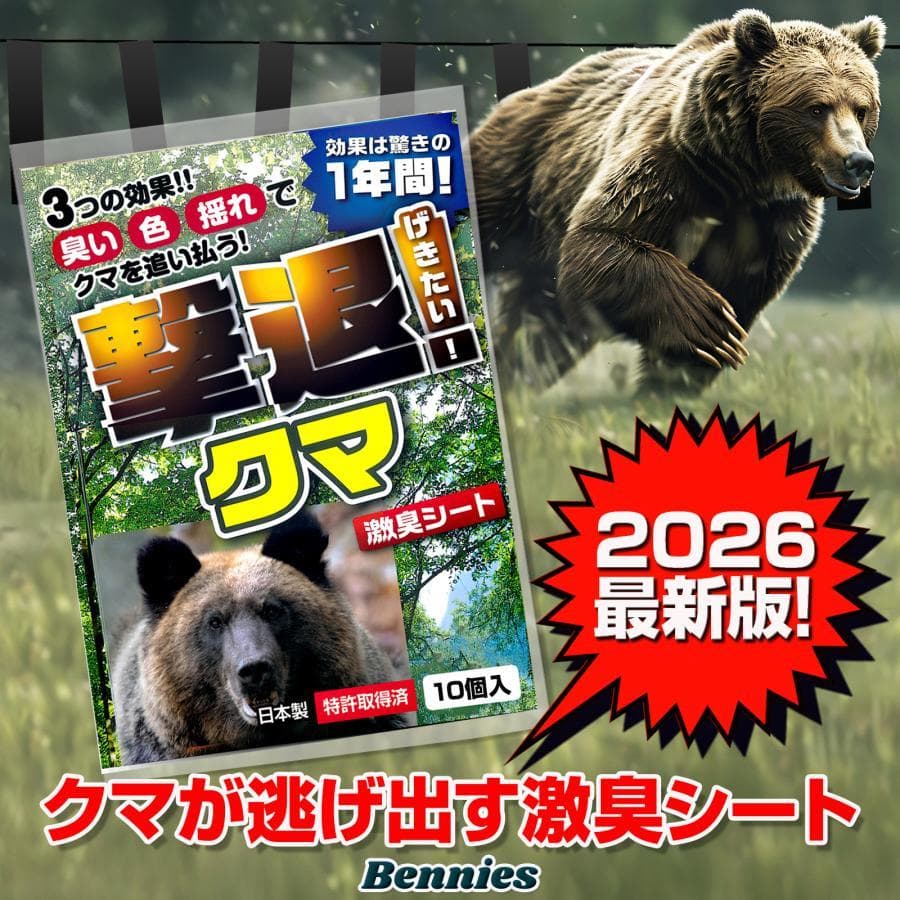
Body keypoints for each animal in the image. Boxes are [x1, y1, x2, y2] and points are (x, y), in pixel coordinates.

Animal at [470, 10, 885, 390]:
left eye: (861, 108)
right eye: (816, 107)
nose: (858, 162)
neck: (740, 174)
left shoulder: (772, 221)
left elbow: (738, 291)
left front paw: (677, 376)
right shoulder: (667, 167)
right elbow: (601, 239)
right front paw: (707, 324)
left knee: (540, 328)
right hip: (523, 165)